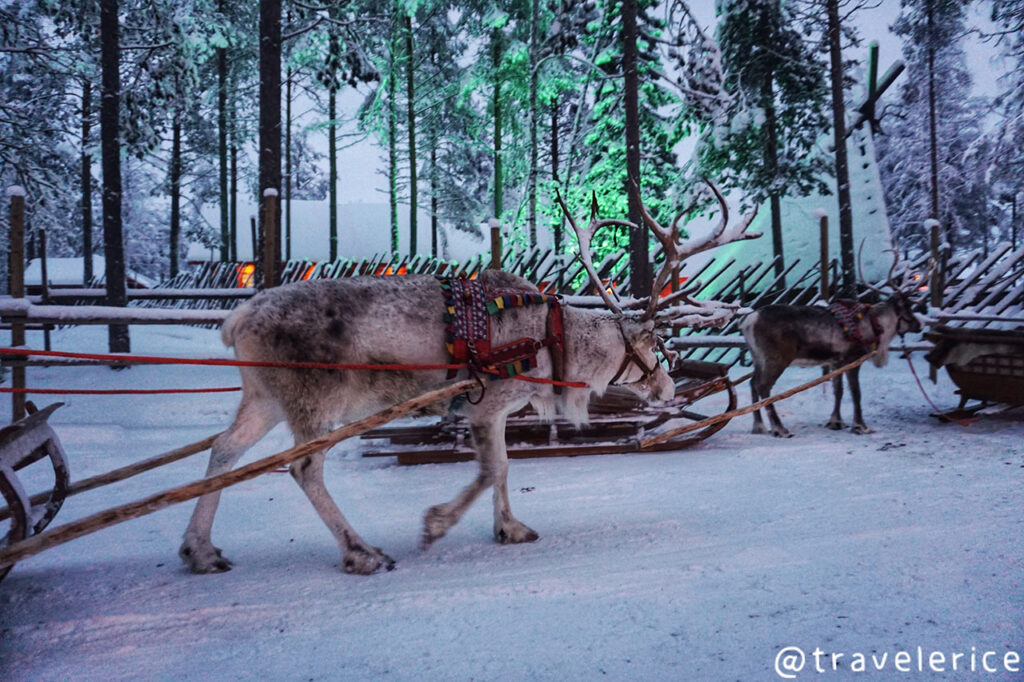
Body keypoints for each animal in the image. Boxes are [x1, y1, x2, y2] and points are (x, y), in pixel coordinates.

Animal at [179, 181, 758, 575]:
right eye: (653, 347)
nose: (667, 388)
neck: (554, 341)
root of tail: (237, 320)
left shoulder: (497, 410)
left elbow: (502, 468)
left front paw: (510, 528)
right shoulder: (484, 402)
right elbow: (488, 470)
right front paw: (436, 523)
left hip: (264, 396)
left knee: (224, 448)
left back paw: (200, 550)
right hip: (316, 400)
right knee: (303, 467)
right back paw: (361, 552)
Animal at [740, 251, 926, 438]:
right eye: (908, 308)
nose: (920, 324)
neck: (876, 325)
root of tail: (748, 321)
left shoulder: (836, 361)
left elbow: (838, 390)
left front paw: (835, 422)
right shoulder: (853, 358)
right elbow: (856, 392)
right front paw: (860, 426)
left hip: (758, 358)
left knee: (753, 383)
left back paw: (759, 426)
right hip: (777, 358)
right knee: (763, 386)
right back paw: (780, 428)